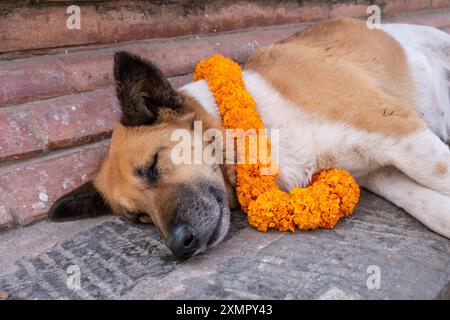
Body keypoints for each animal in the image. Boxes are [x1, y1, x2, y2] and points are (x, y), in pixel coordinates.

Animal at [49, 17, 450, 258]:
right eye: (138, 219)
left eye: (153, 165)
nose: (179, 247)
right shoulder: (379, 170)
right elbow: (429, 208)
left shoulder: (395, 129)